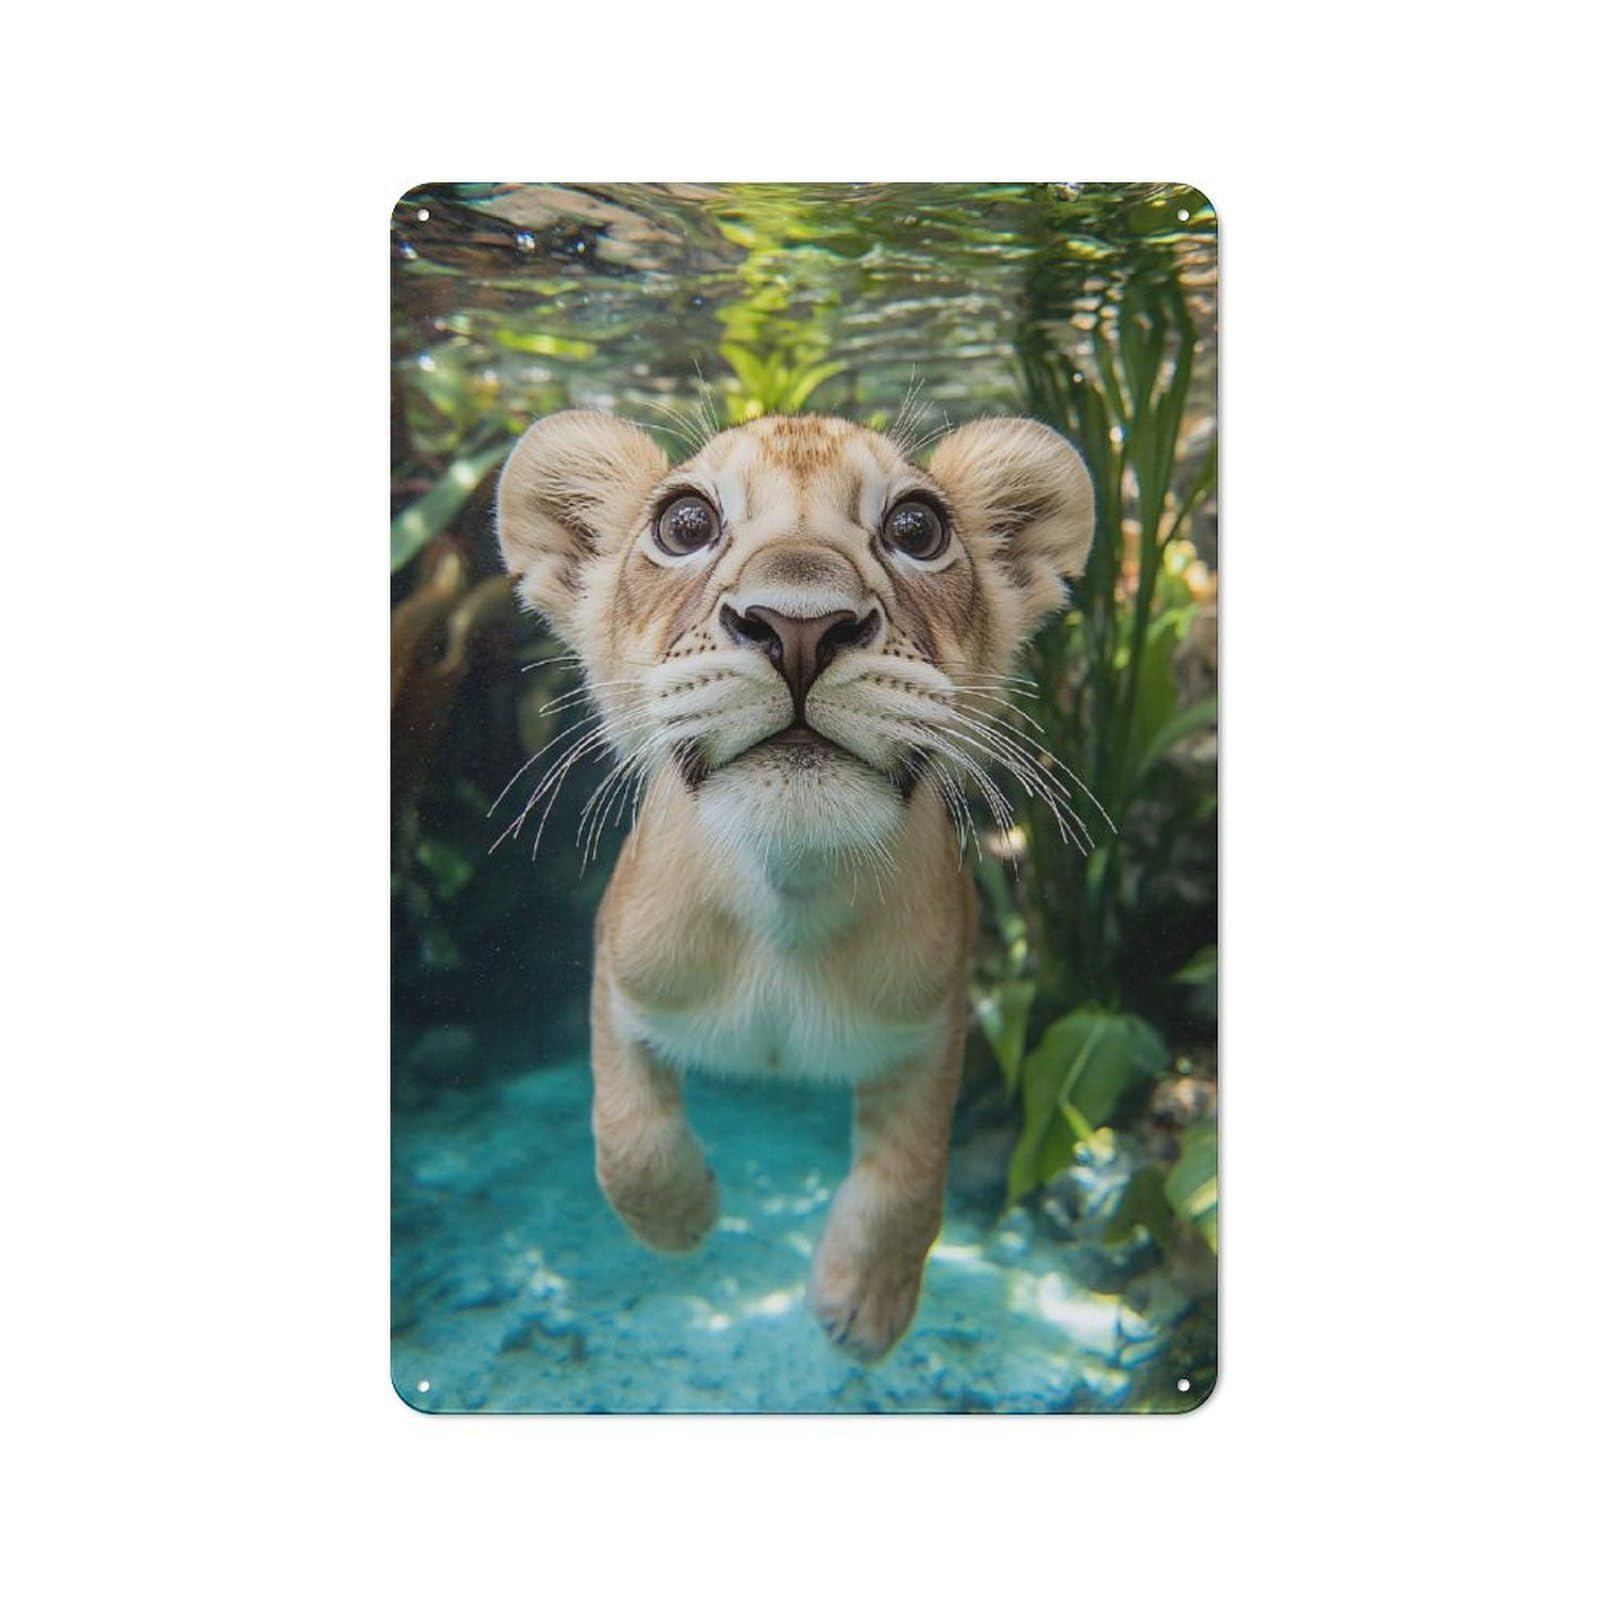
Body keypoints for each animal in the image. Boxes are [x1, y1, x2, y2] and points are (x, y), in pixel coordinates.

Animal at [496, 409, 1093, 1360]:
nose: (802, 627)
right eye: (686, 525)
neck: (790, 890)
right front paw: (684, 1219)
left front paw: (866, 1307)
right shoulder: (620, 976)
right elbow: (624, 1133)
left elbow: (909, 1173)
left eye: (917, 529)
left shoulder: (936, 1017)